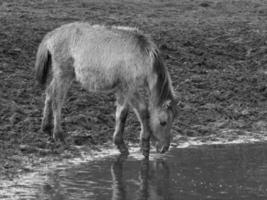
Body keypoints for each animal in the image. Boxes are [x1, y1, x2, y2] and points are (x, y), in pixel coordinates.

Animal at [35, 21, 178, 156]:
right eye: (163, 122)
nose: (164, 148)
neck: (143, 56)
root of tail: (52, 35)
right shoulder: (126, 88)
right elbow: (130, 113)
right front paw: (127, 145)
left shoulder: (127, 89)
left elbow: (135, 112)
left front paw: (139, 145)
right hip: (64, 75)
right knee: (57, 101)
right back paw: (58, 134)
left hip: (62, 76)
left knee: (49, 92)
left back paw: (46, 126)